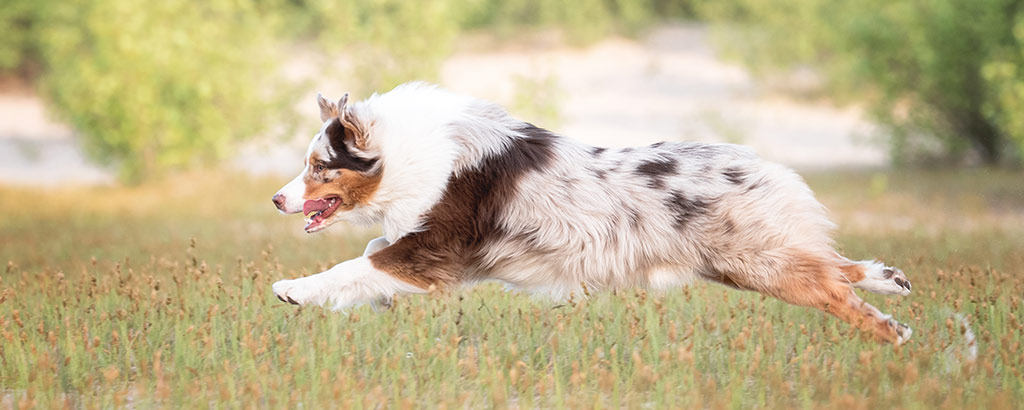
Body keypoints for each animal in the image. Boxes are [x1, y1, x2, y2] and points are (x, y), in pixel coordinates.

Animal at [270, 82, 913, 342]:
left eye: (319, 167)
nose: (276, 199)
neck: (406, 153)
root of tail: (763, 164)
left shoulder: (430, 251)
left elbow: (353, 265)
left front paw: (293, 290)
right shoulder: (424, 253)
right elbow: (366, 259)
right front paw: (356, 302)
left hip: (756, 261)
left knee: (832, 287)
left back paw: (894, 333)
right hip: (746, 263)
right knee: (833, 268)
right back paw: (892, 281)